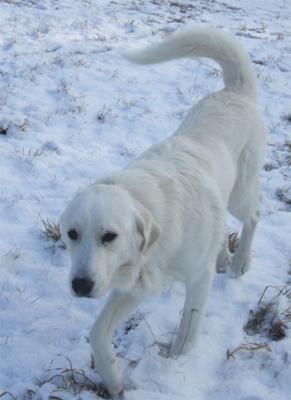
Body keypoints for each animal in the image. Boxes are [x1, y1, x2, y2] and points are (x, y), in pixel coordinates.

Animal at [61, 25, 266, 396]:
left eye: (109, 236)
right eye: (72, 234)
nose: (81, 285)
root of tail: (235, 92)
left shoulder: (196, 279)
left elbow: (188, 327)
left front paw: (175, 361)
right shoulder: (136, 284)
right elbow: (98, 332)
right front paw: (113, 379)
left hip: (240, 193)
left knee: (254, 216)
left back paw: (241, 261)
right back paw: (223, 256)